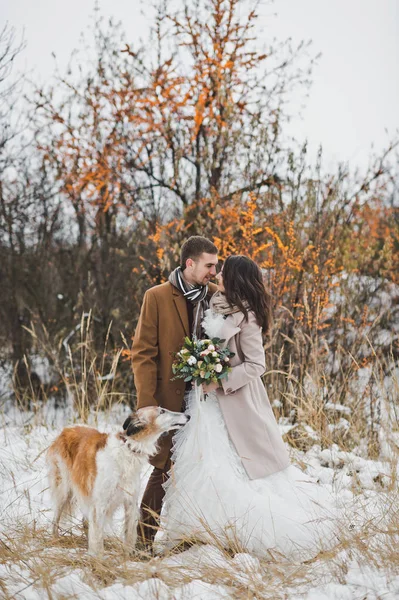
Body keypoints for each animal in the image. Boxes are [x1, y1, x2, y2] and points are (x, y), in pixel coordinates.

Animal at [47, 406, 190, 556]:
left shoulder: (130, 502)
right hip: (63, 489)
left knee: (85, 522)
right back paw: (55, 540)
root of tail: (66, 430)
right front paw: (98, 557)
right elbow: (97, 537)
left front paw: (127, 557)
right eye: (161, 411)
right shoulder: (100, 503)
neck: (129, 448)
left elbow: (129, 535)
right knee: (55, 520)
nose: (188, 416)